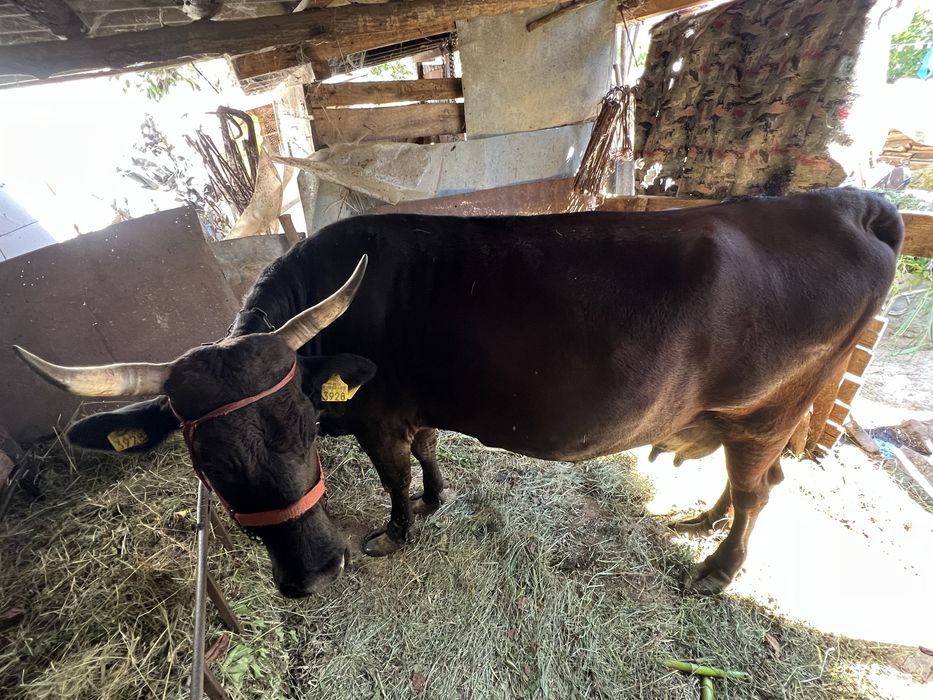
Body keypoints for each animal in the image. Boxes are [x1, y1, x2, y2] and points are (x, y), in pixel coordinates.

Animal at [13, 188, 902, 598]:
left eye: (303, 423)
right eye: (208, 463)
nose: (315, 572)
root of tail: (841, 202)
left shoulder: (375, 414)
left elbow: (394, 473)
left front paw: (399, 529)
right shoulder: (409, 406)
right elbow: (431, 451)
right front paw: (438, 500)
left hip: (767, 408)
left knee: (758, 489)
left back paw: (716, 567)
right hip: (751, 414)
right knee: (748, 478)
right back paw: (702, 521)